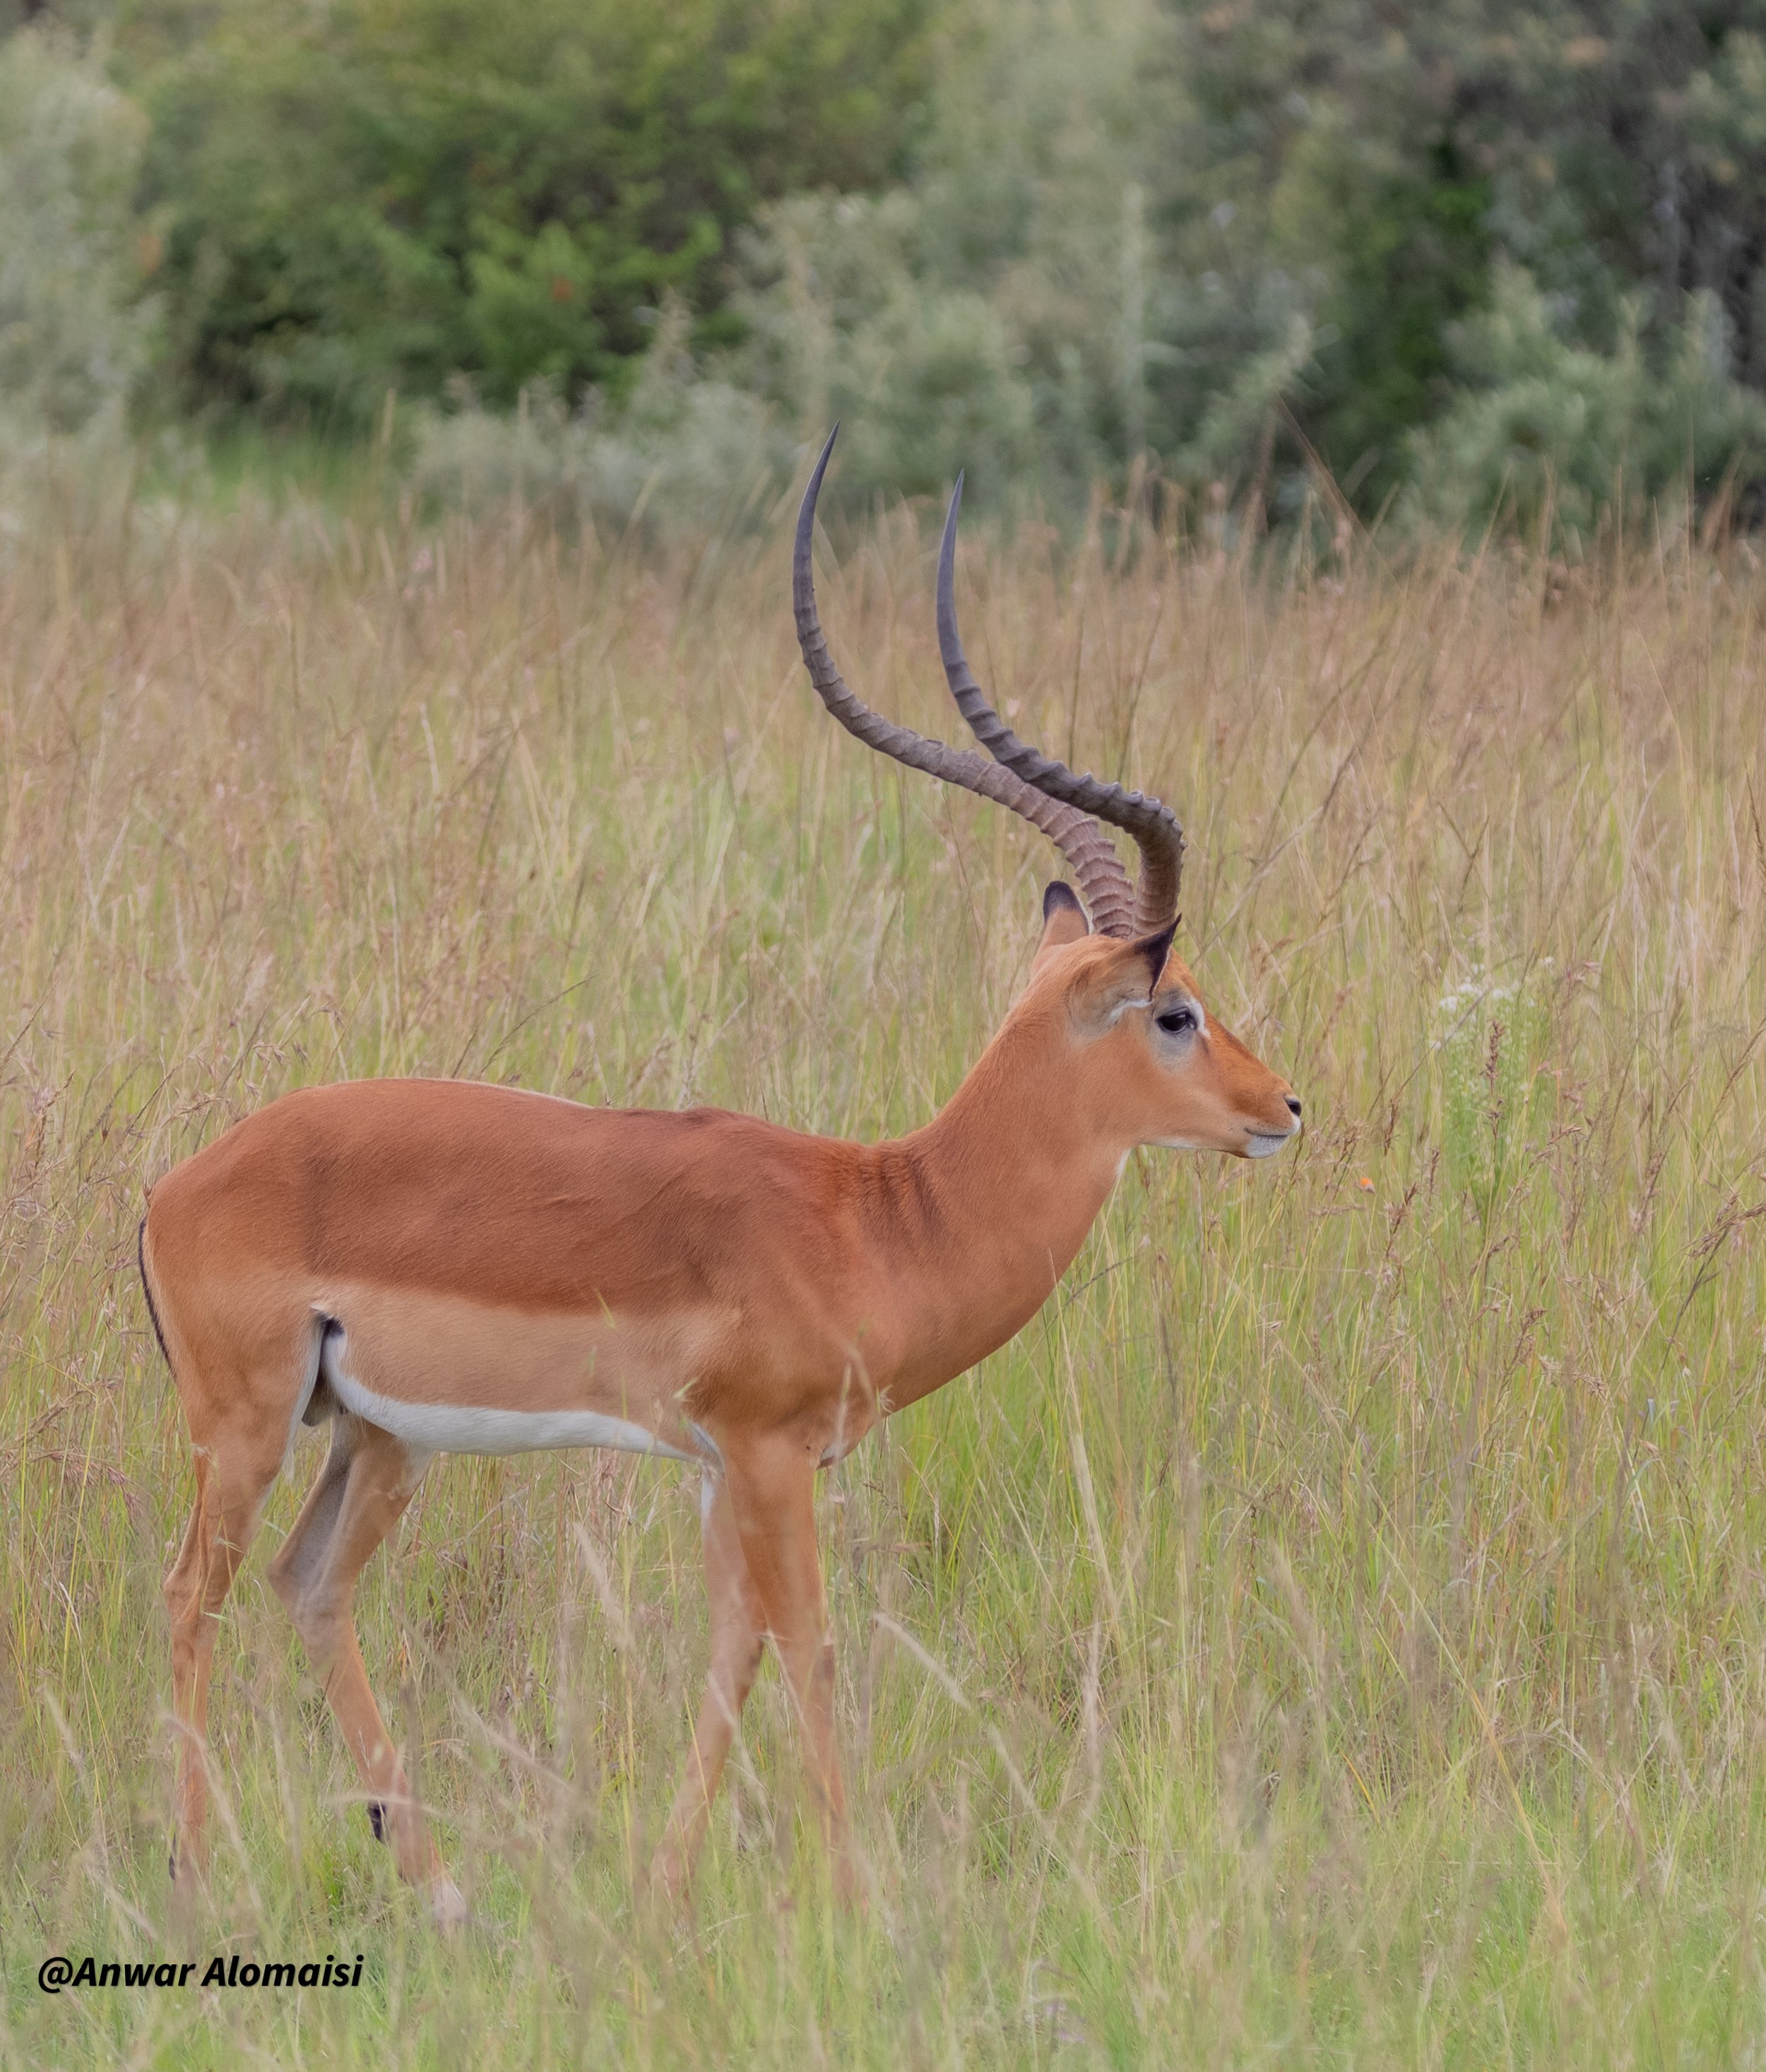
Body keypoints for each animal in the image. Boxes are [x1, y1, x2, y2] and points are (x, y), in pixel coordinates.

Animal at [140, 429, 1301, 1924]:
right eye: (1175, 1010)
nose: (1281, 1106)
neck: (883, 1214)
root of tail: (176, 1183)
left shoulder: (718, 1468)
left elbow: (729, 1651)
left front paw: (663, 1888)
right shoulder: (768, 1451)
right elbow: (810, 1646)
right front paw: (862, 1899)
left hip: (376, 1434)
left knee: (307, 1584)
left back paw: (443, 1887)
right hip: (245, 1423)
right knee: (190, 1592)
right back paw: (198, 1875)